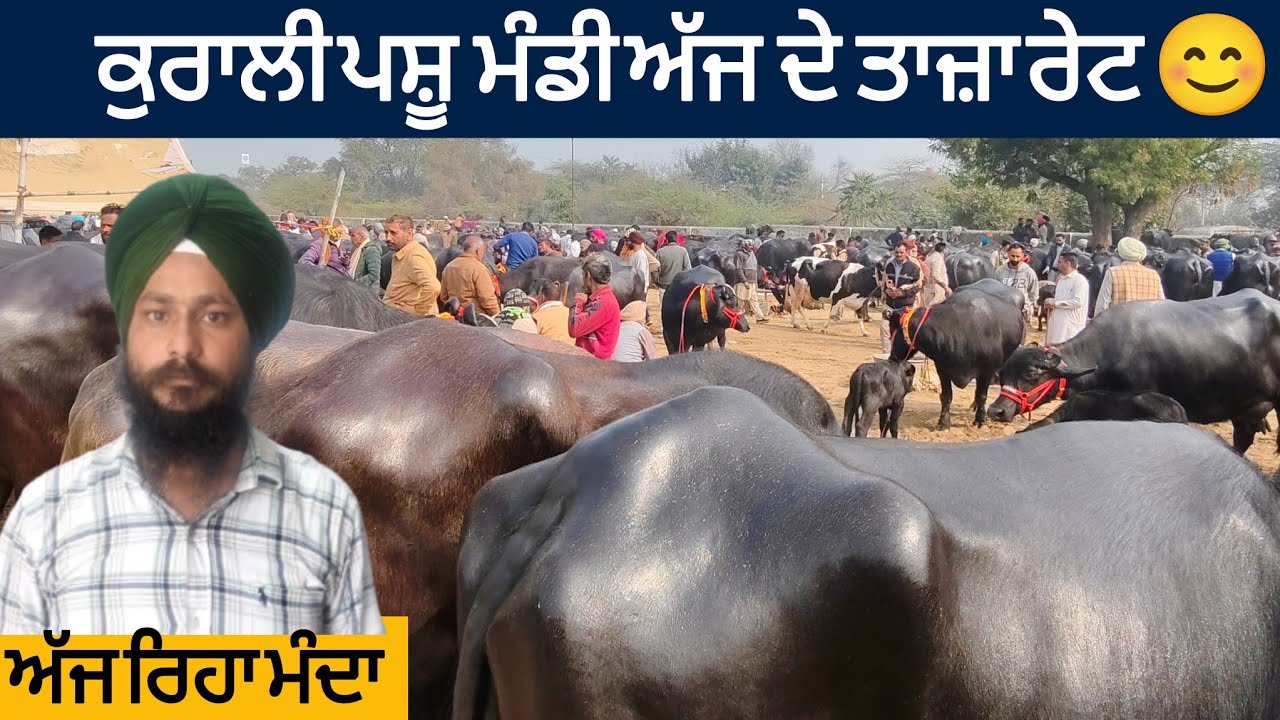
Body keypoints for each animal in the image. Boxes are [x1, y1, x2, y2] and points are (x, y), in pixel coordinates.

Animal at [888, 287, 1026, 429]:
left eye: (892, 328)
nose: (892, 357)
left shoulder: (987, 371)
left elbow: (981, 395)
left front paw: (979, 421)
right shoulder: (942, 368)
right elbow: (946, 396)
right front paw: (943, 422)